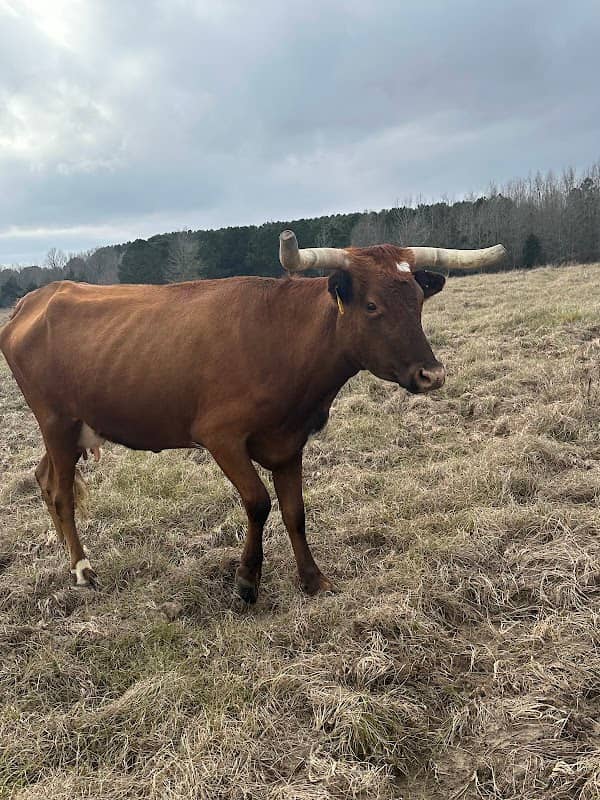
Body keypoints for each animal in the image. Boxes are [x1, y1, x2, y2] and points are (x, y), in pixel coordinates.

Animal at [0, 231, 506, 602]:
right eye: (372, 305)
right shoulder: (220, 437)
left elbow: (295, 511)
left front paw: (312, 579)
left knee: (45, 480)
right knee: (61, 492)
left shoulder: (289, 441)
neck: (282, 338)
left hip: (74, 429)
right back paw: (82, 570)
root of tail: (34, 299)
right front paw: (246, 581)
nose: (432, 374)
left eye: (418, 301)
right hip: (55, 421)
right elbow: (259, 502)